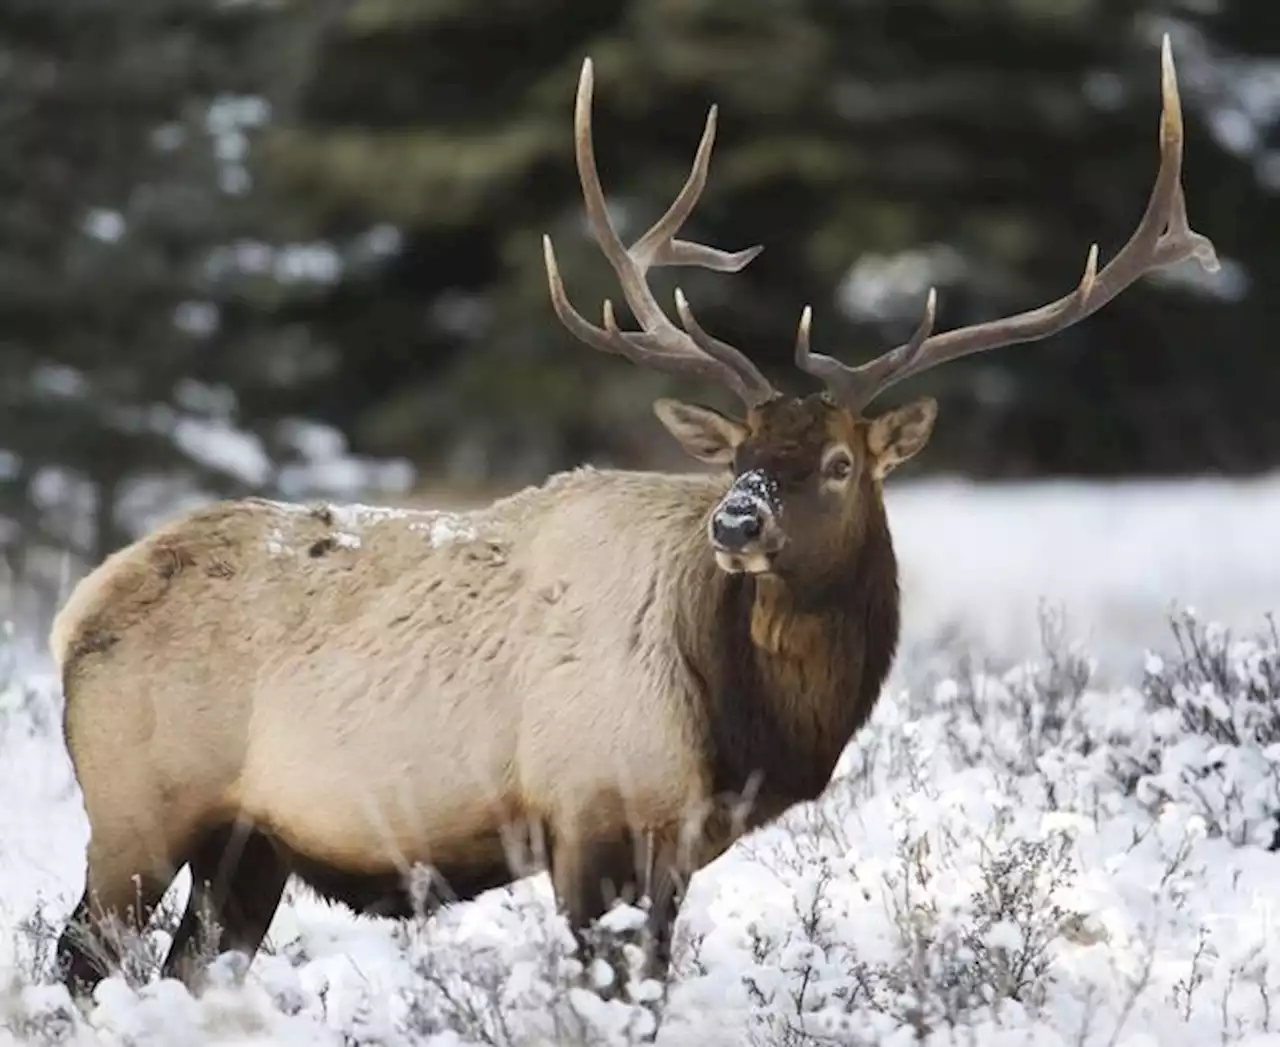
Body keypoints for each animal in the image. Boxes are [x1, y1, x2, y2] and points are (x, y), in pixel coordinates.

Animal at [55, 36, 1213, 993]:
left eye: (839, 462)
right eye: (740, 457)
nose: (735, 527)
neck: (745, 727)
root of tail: (78, 607)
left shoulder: (673, 845)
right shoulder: (589, 810)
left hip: (250, 847)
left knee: (189, 966)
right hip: (136, 808)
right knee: (80, 957)